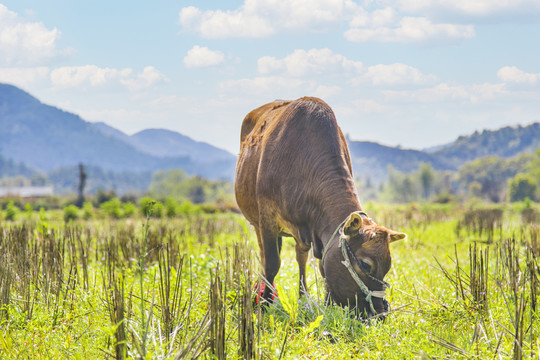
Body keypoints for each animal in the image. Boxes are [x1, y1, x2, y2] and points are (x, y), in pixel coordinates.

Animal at [234, 97, 408, 316]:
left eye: (388, 266)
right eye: (365, 265)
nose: (380, 312)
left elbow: (320, 266)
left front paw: (325, 303)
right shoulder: (267, 219)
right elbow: (272, 263)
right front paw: (265, 303)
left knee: (300, 256)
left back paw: (303, 297)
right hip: (256, 222)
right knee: (265, 256)